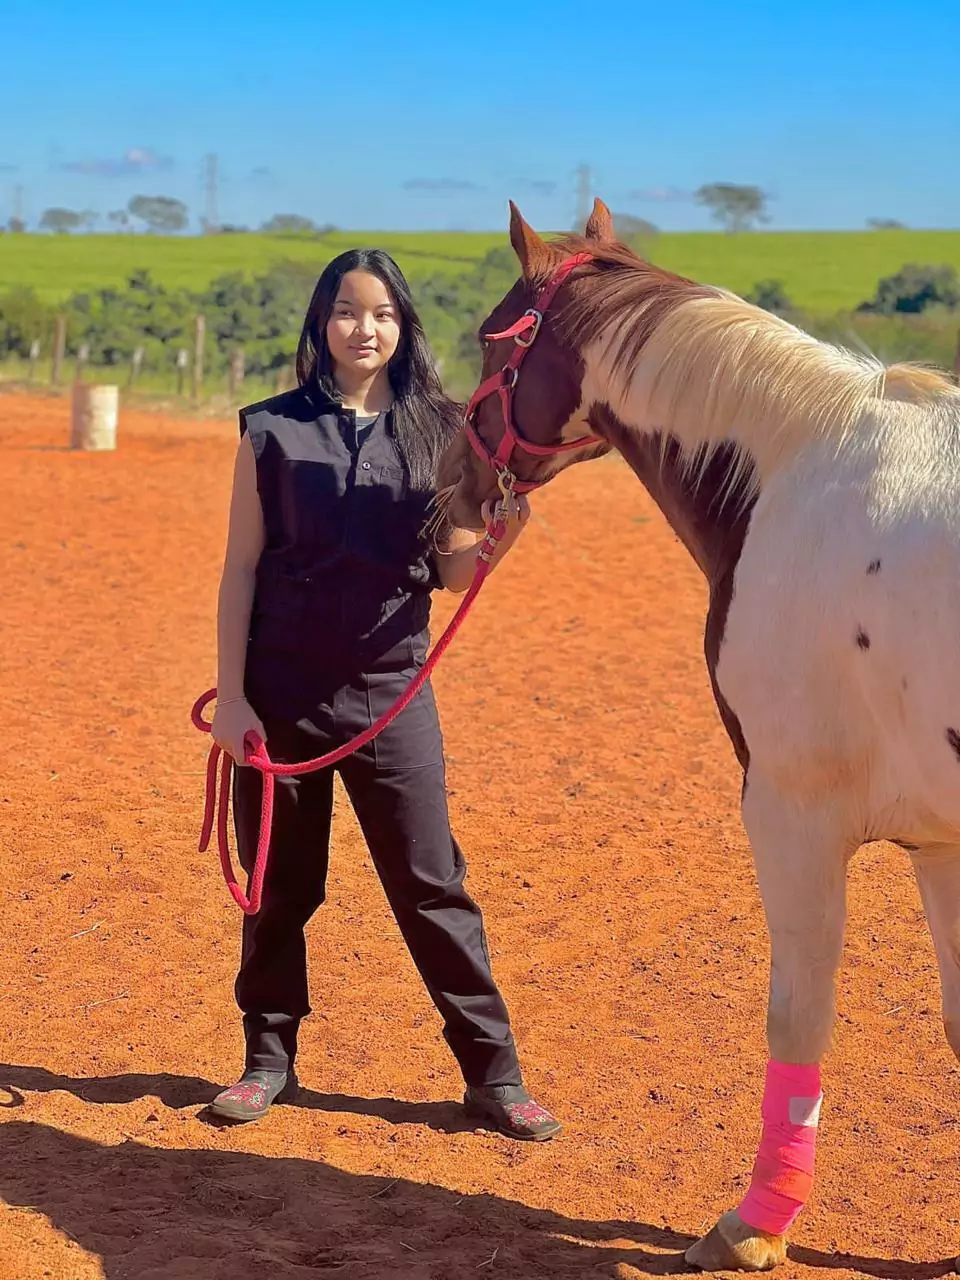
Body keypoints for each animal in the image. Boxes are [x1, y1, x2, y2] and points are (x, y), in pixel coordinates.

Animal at [435, 198, 960, 1272]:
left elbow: (798, 1020)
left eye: (491, 337)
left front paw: (755, 1225)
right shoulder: (938, 842)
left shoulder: (794, 814)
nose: (461, 484)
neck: (800, 472)